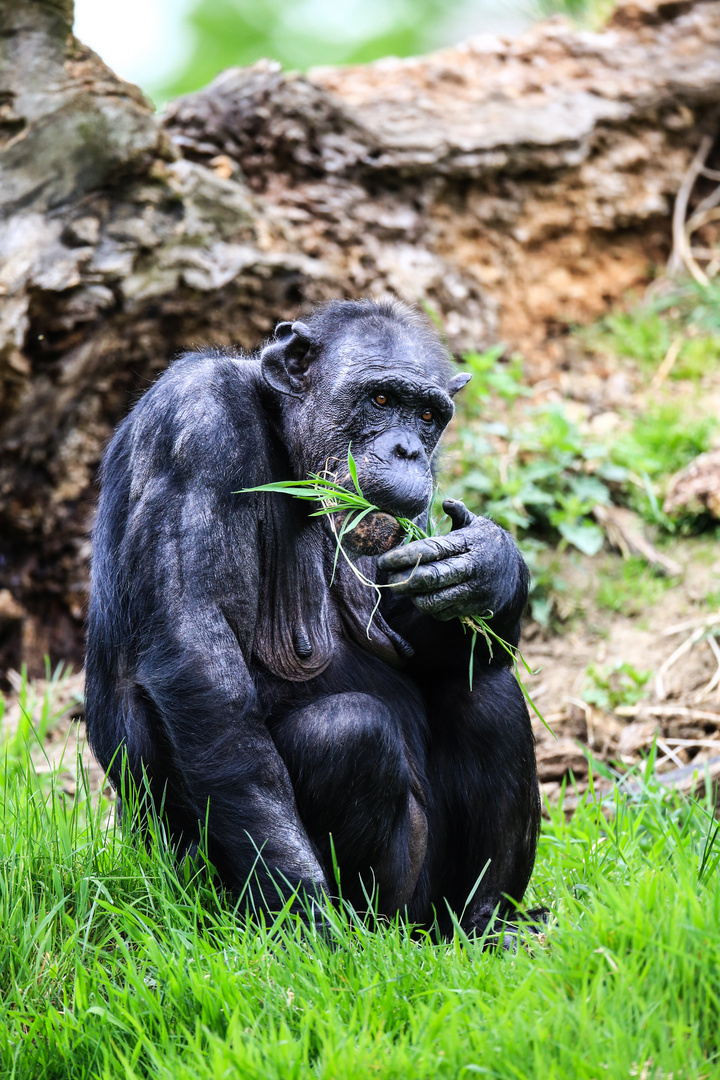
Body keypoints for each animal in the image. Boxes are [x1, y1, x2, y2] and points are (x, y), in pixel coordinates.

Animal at [85, 298, 539, 937]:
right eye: (381, 400)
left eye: (428, 415)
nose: (409, 450)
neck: (285, 441)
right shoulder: (194, 425)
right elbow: (198, 654)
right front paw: (297, 904)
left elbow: (423, 634)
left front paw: (488, 564)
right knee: (348, 733)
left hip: (433, 905)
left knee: (487, 689)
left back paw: (488, 923)